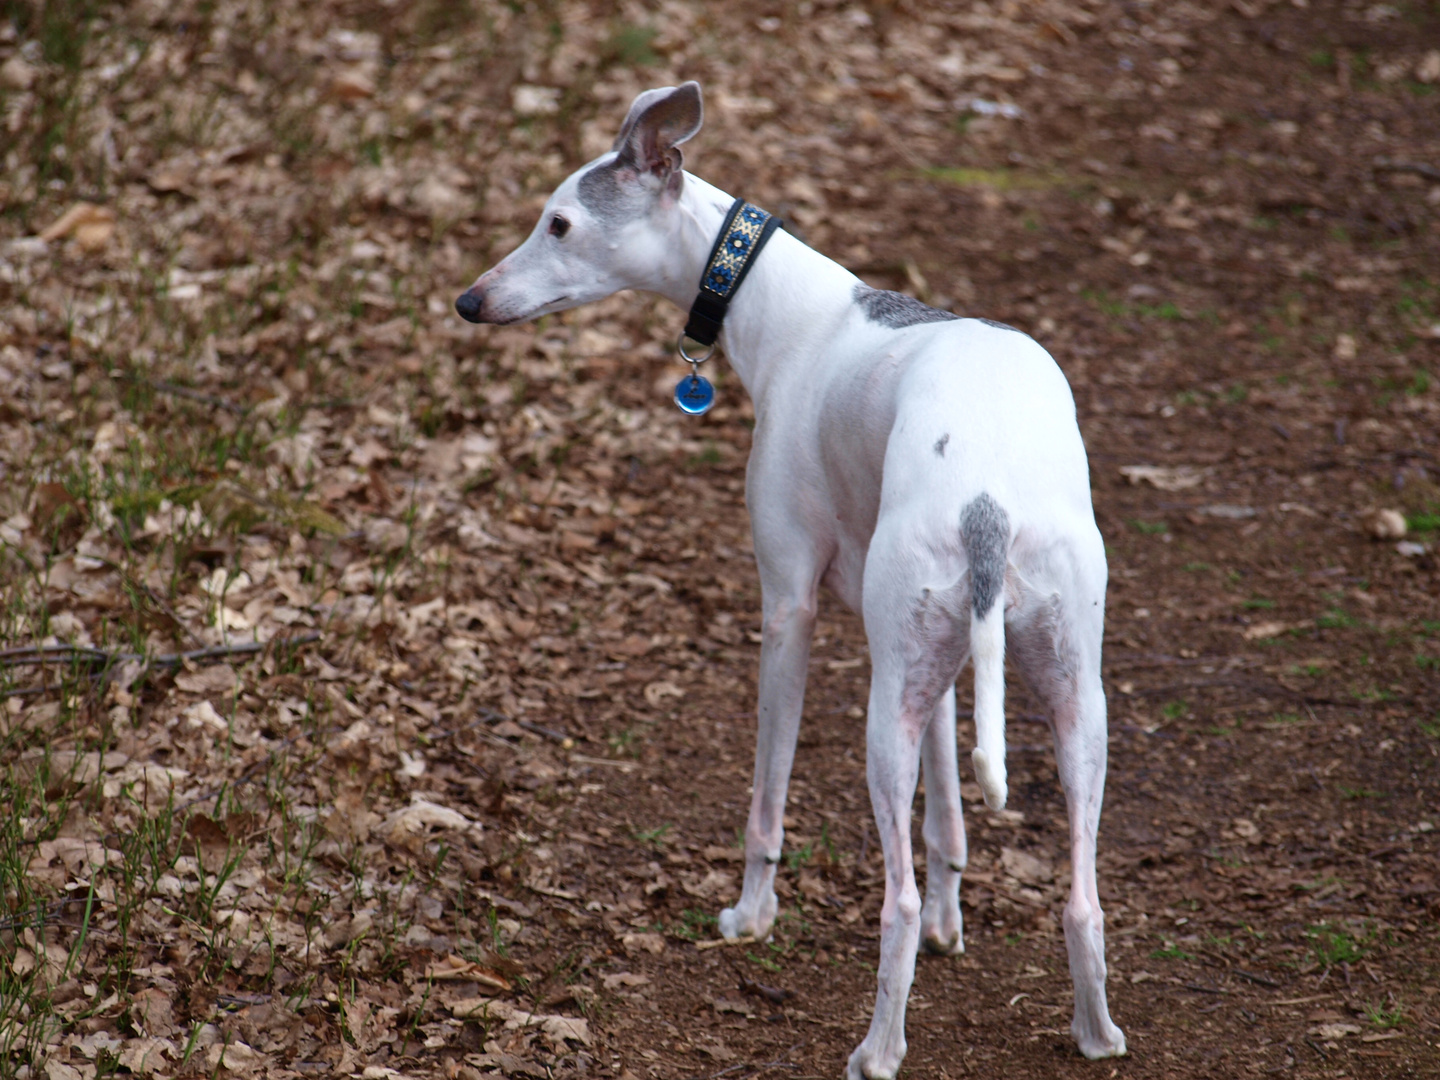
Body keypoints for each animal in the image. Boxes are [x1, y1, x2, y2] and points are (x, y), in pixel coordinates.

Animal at [457, 82, 1123, 1077]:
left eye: (560, 224)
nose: (469, 300)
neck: (790, 308)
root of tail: (988, 503)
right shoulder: (938, 666)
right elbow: (948, 817)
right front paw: (955, 921)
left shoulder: (788, 608)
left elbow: (767, 799)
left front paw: (750, 914)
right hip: (1064, 695)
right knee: (1081, 897)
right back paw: (1095, 1031)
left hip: (885, 713)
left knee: (894, 901)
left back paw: (878, 1049)